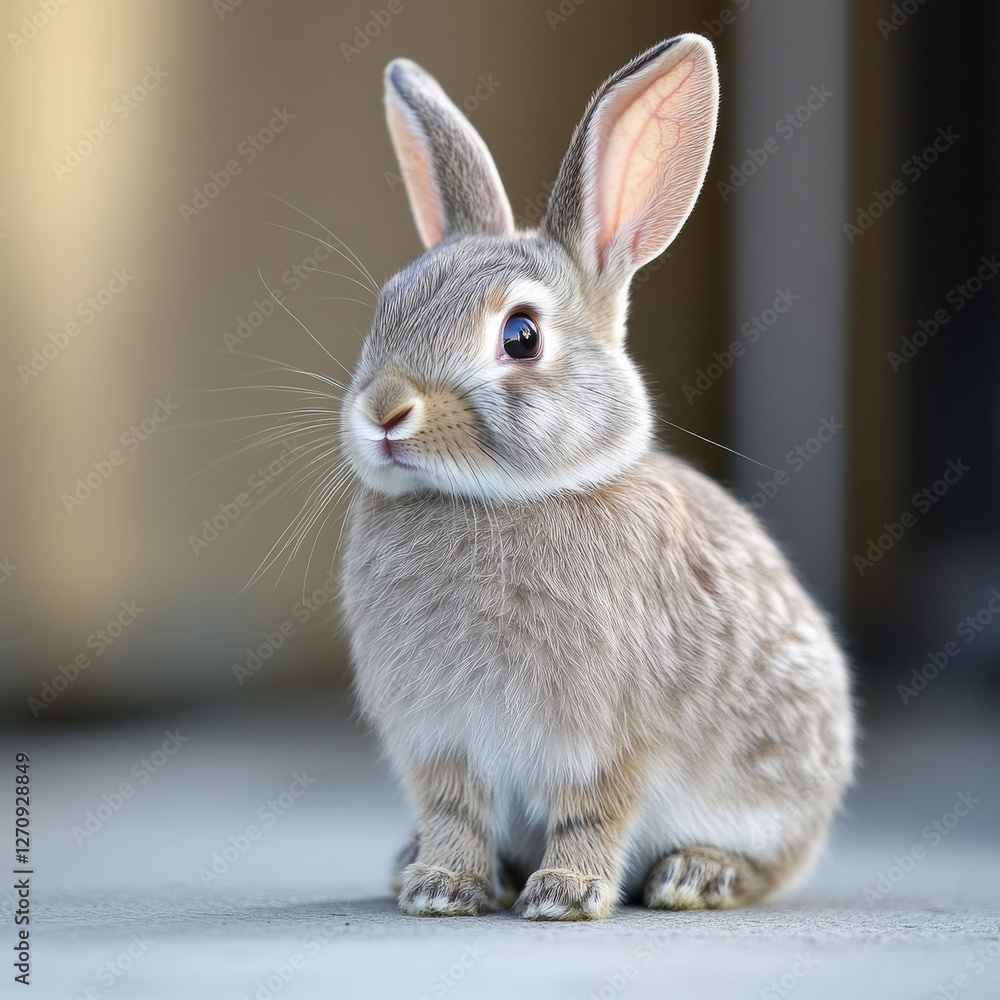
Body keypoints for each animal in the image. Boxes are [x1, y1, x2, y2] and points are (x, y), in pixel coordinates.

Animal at [339, 33, 854, 920]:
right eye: (388, 305)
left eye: (520, 336)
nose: (383, 411)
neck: (494, 500)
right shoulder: (441, 743)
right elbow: (454, 814)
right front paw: (442, 887)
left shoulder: (609, 741)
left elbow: (594, 814)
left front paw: (565, 896)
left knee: (773, 865)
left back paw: (695, 875)